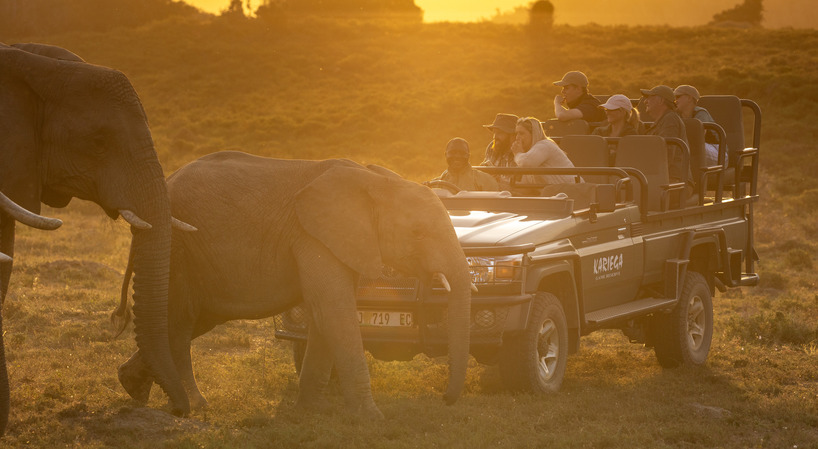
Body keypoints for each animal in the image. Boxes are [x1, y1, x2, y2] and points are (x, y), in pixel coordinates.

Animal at [113, 152, 472, 418]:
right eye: (418, 234)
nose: (445, 399)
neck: (377, 181)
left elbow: (323, 314)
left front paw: (311, 411)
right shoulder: (312, 235)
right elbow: (334, 309)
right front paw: (372, 419)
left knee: (189, 319)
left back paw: (132, 387)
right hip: (178, 247)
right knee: (179, 321)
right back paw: (195, 405)